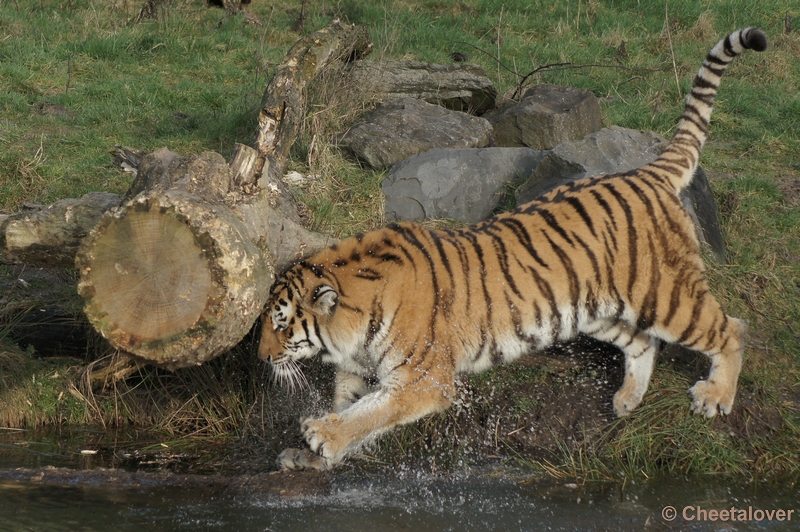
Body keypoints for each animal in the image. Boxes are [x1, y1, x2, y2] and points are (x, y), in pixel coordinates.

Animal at [260, 29, 764, 470]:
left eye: (282, 325)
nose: (263, 358)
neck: (351, 326)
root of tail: (644, 173)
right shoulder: (359, 369)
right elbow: (352, 405)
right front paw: (311, 458)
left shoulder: (424, 379)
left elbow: (371, 412)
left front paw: (323, 435)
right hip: (596, 310)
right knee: (643, 342)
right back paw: (627, 400)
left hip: (664, 294)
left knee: (731, 328)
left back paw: (715, 397)